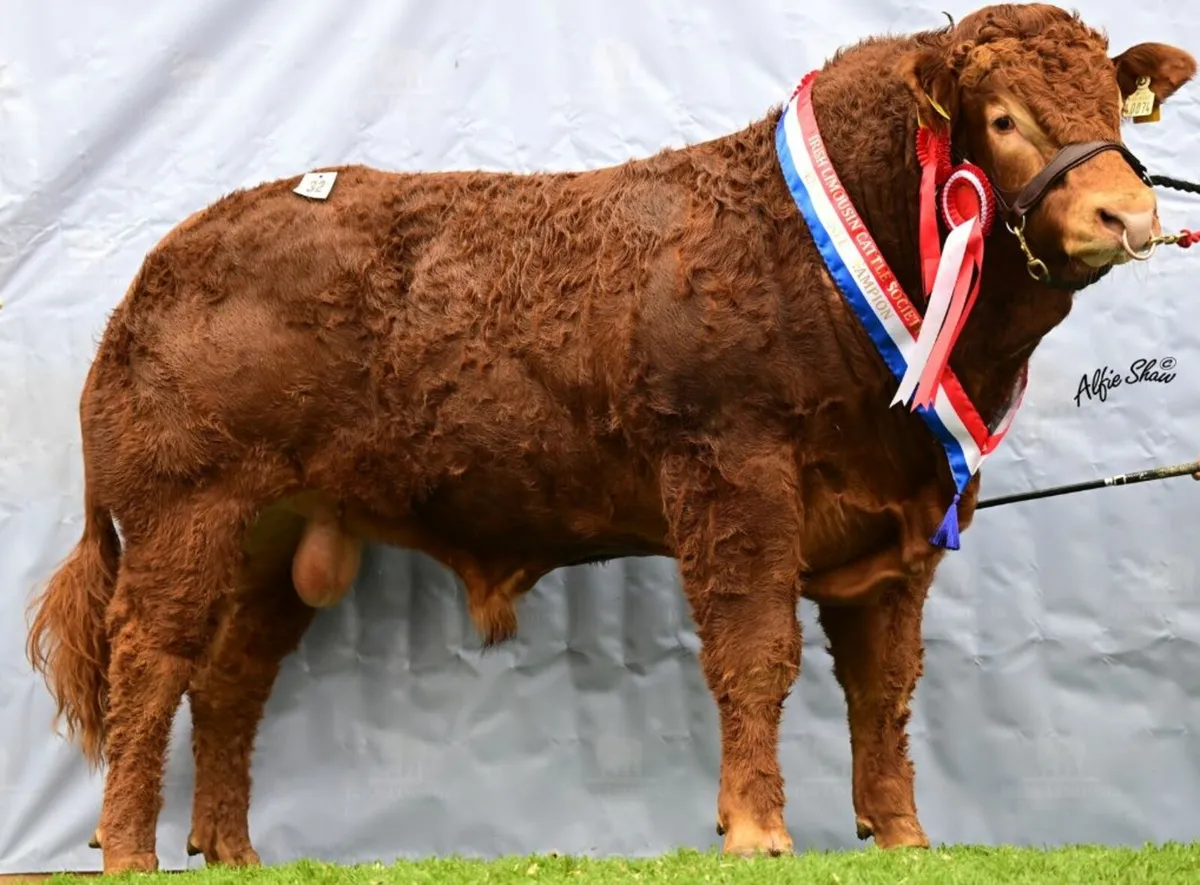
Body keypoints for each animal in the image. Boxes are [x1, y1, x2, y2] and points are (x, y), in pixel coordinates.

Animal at [24, 3, 1196, 874]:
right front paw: (758, 830)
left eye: (1118, 109)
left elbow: (885, 682)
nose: (1129, 217)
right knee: (150, 661)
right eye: (1000, 117)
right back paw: (129, 851)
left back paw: (231, 851)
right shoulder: (731, 473)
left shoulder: (899, 523)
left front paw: (904, 836)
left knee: (230, 677)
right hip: (185, 506)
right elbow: (754, 651)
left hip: (276, 538)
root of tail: (167, 262)